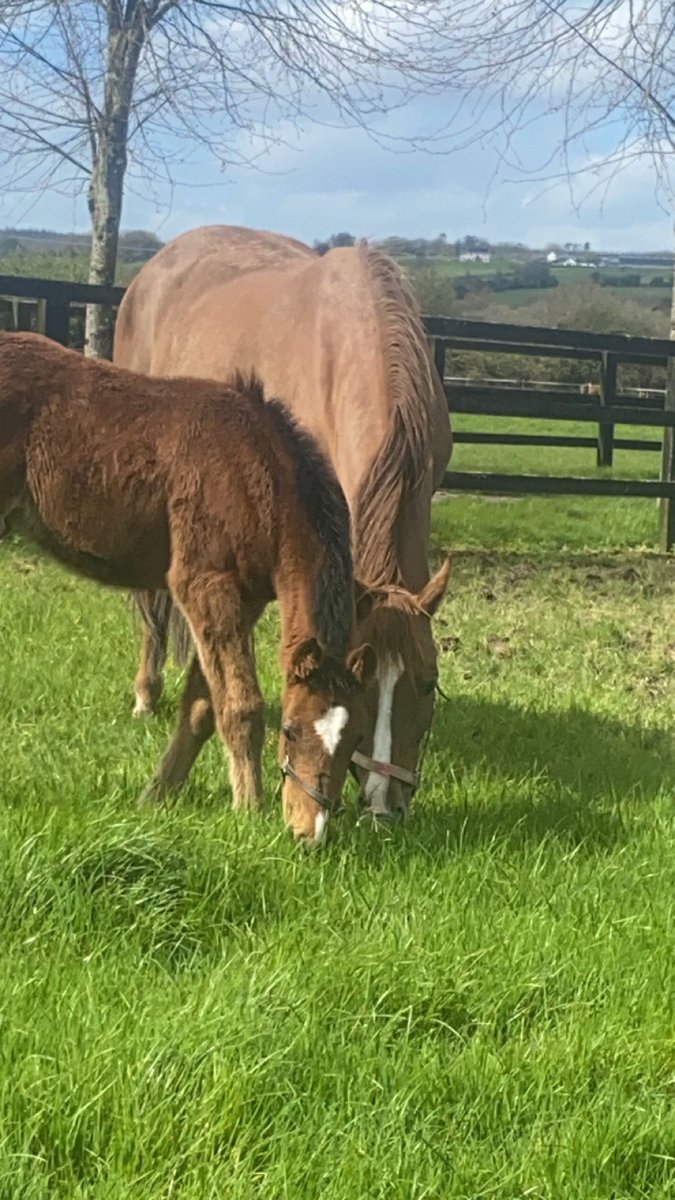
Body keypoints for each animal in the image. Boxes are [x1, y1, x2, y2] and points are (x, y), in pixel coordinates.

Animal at [0, 332, 375, 846]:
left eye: (356, 738)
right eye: (291, 730)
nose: (309, 832)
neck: (258, 474)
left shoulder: (243, 600)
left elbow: (200, 707)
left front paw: (156, 796)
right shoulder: (204, 585)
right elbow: (239, 706)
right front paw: (249, 811)